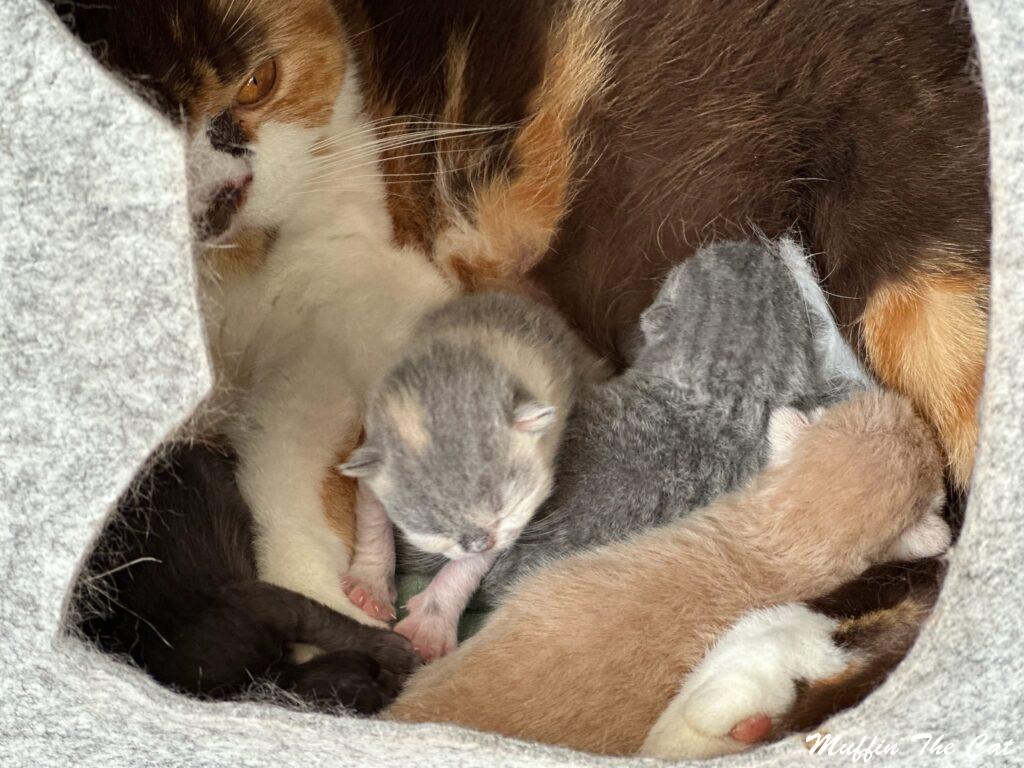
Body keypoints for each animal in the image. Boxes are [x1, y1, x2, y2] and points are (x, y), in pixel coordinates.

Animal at [74, 444, 419, 716]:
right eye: (379, 685)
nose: (394, 684)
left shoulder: (265, 605)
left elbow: (324, 622)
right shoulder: (260, 605)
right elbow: (328, 623)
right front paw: (394, 651)